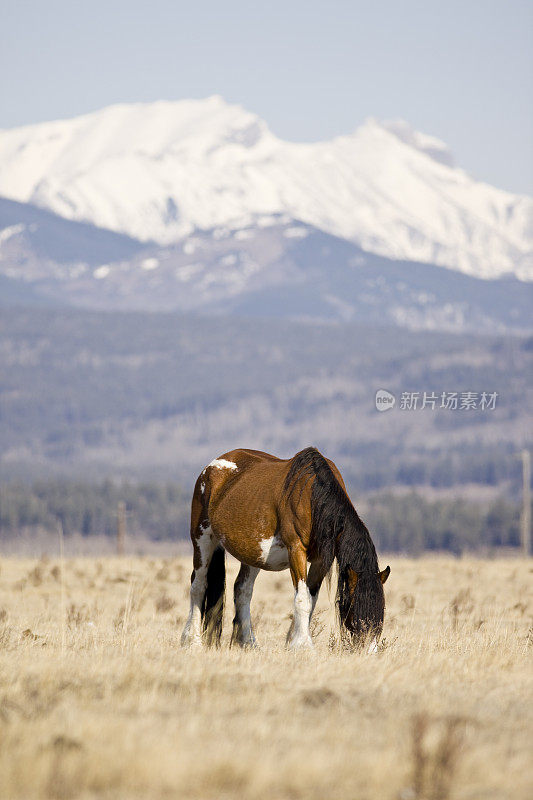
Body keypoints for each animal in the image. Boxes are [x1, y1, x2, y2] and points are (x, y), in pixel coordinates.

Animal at [181, 446, 388, 652]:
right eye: (355, 606)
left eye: (381, 609)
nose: (369, 650)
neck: (313, 497)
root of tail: (211, 467)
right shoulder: (296, 550)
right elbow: (302, 599)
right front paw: (303, 645)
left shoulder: (321, 560)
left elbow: (311, 599)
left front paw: (293, 641)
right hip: (203, 539)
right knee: (198, 586)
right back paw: (192, 640)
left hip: (252, 553)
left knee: (242, 591)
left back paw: (248, 642)